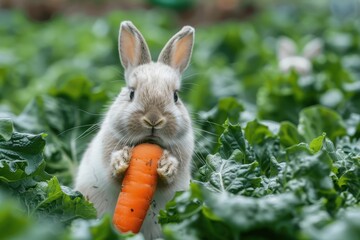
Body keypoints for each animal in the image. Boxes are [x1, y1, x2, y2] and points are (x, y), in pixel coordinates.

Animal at [74, 21, 195, 239]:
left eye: (175, 96)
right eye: (131, 93)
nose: (153, 120)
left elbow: (169, 180)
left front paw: (167, 166)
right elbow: (113, 175)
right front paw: (121, 160)